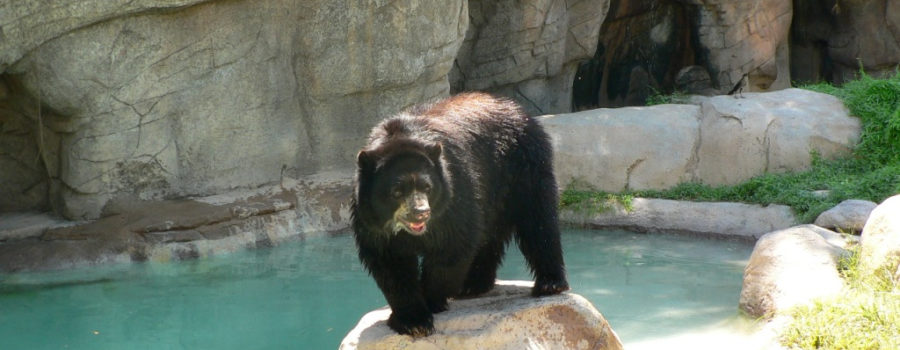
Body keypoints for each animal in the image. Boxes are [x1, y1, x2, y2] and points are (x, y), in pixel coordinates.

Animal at [348, 92, 568, 336]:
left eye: (427, 187)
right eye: (397, 191)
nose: (421, 213)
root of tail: (517, 109)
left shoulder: (455, 194)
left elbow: (453, 245)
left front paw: (431, 300)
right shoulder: (371, 221)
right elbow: (390, 262)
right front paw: (412, 320)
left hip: (524, 166)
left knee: (538, 220)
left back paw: (550, 283)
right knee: (489, 236)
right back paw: (474, 284)